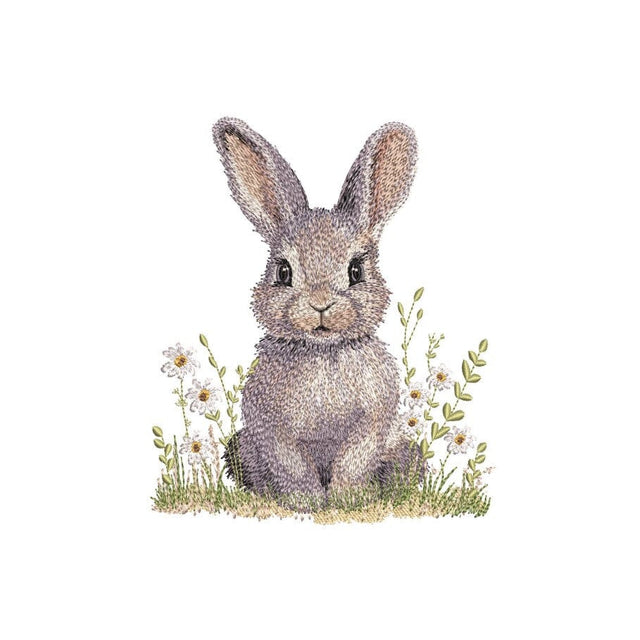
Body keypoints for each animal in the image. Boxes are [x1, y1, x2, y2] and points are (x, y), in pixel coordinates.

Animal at [212, 117, 418, 509]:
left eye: (356, 271)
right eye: (283, 272)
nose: (320, 303)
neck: (323, 352)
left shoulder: (372, 423)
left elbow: (353, 461)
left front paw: (347, 499)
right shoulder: (271, 428)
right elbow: (292, 466)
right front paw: (304, 503)